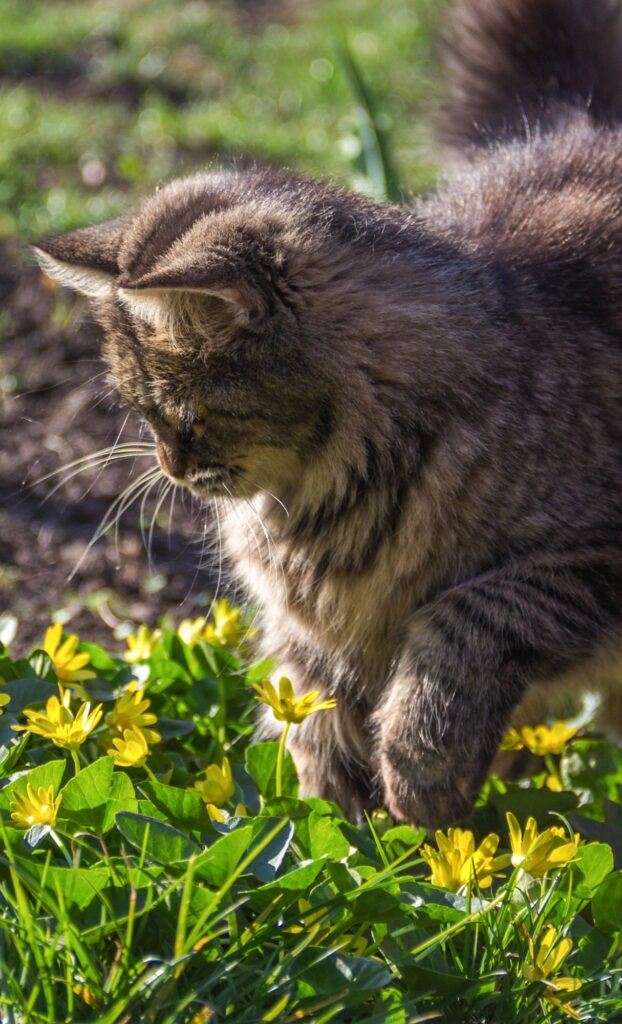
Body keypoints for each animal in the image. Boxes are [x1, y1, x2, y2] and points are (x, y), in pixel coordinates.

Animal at [32, 0, 622, 827]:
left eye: (189, 416)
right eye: (142, 416)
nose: (170, 470)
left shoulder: (586, 557)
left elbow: (466, 620)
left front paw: (418, 777)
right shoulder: (308, 633)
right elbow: (310, 727)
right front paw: (346, 823)